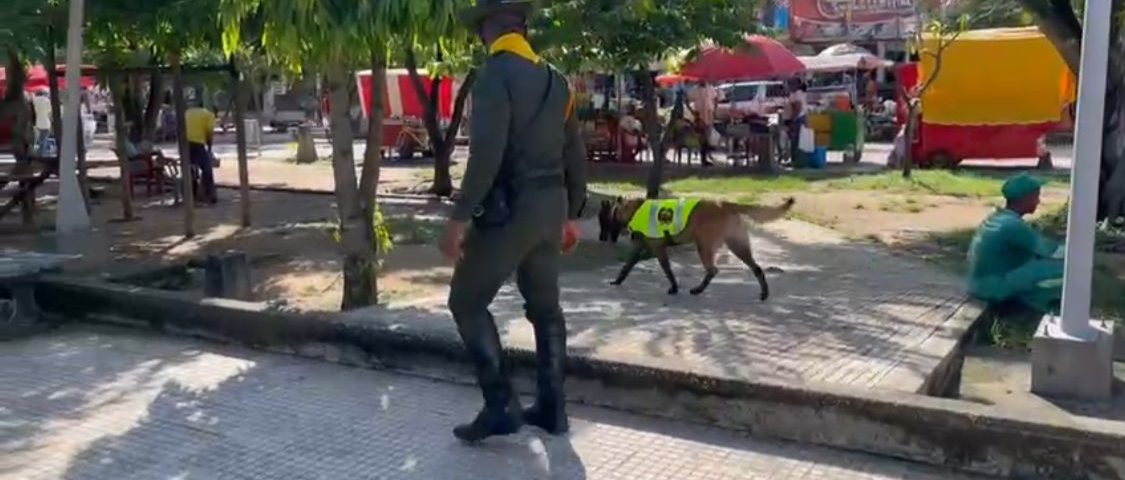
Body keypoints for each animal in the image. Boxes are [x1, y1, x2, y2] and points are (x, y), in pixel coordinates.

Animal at [603, 197, 796, 299]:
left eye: (608, 217)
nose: (605, 235)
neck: (633, 209)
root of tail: (723, 203)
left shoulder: (658, 249)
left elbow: (667, 270)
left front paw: (673, 287)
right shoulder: (641, 249)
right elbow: (627, 266)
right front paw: (618, 280)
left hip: (704, 246)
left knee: (712, 270)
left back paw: (698, 289)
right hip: (738, 245)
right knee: (757, 269)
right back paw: (764, 293)